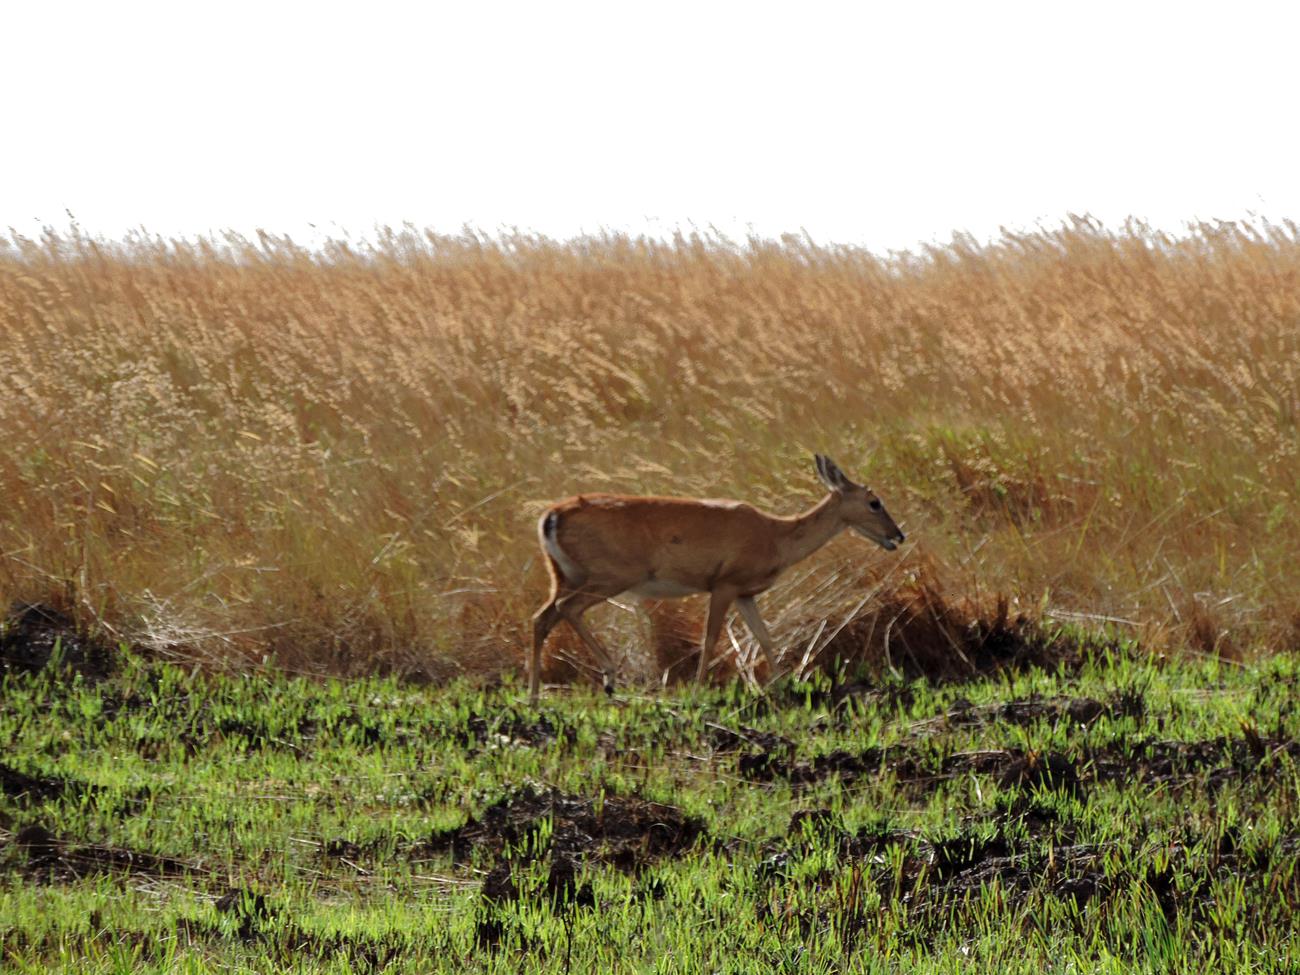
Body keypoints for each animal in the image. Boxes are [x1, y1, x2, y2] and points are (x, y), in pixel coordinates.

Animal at [527, 454, 905, 701]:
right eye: (874, 501)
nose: (898, 536)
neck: (776, 537)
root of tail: (550, 517)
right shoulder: (724, 583)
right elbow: (710, 639)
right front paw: (697, 693)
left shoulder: (745, 593)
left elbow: (766, 637)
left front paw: (782, 689)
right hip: (612, 574)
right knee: (565, 608)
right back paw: (607, 677)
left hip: (564, 574)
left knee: (542, 616)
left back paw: (534, 697)